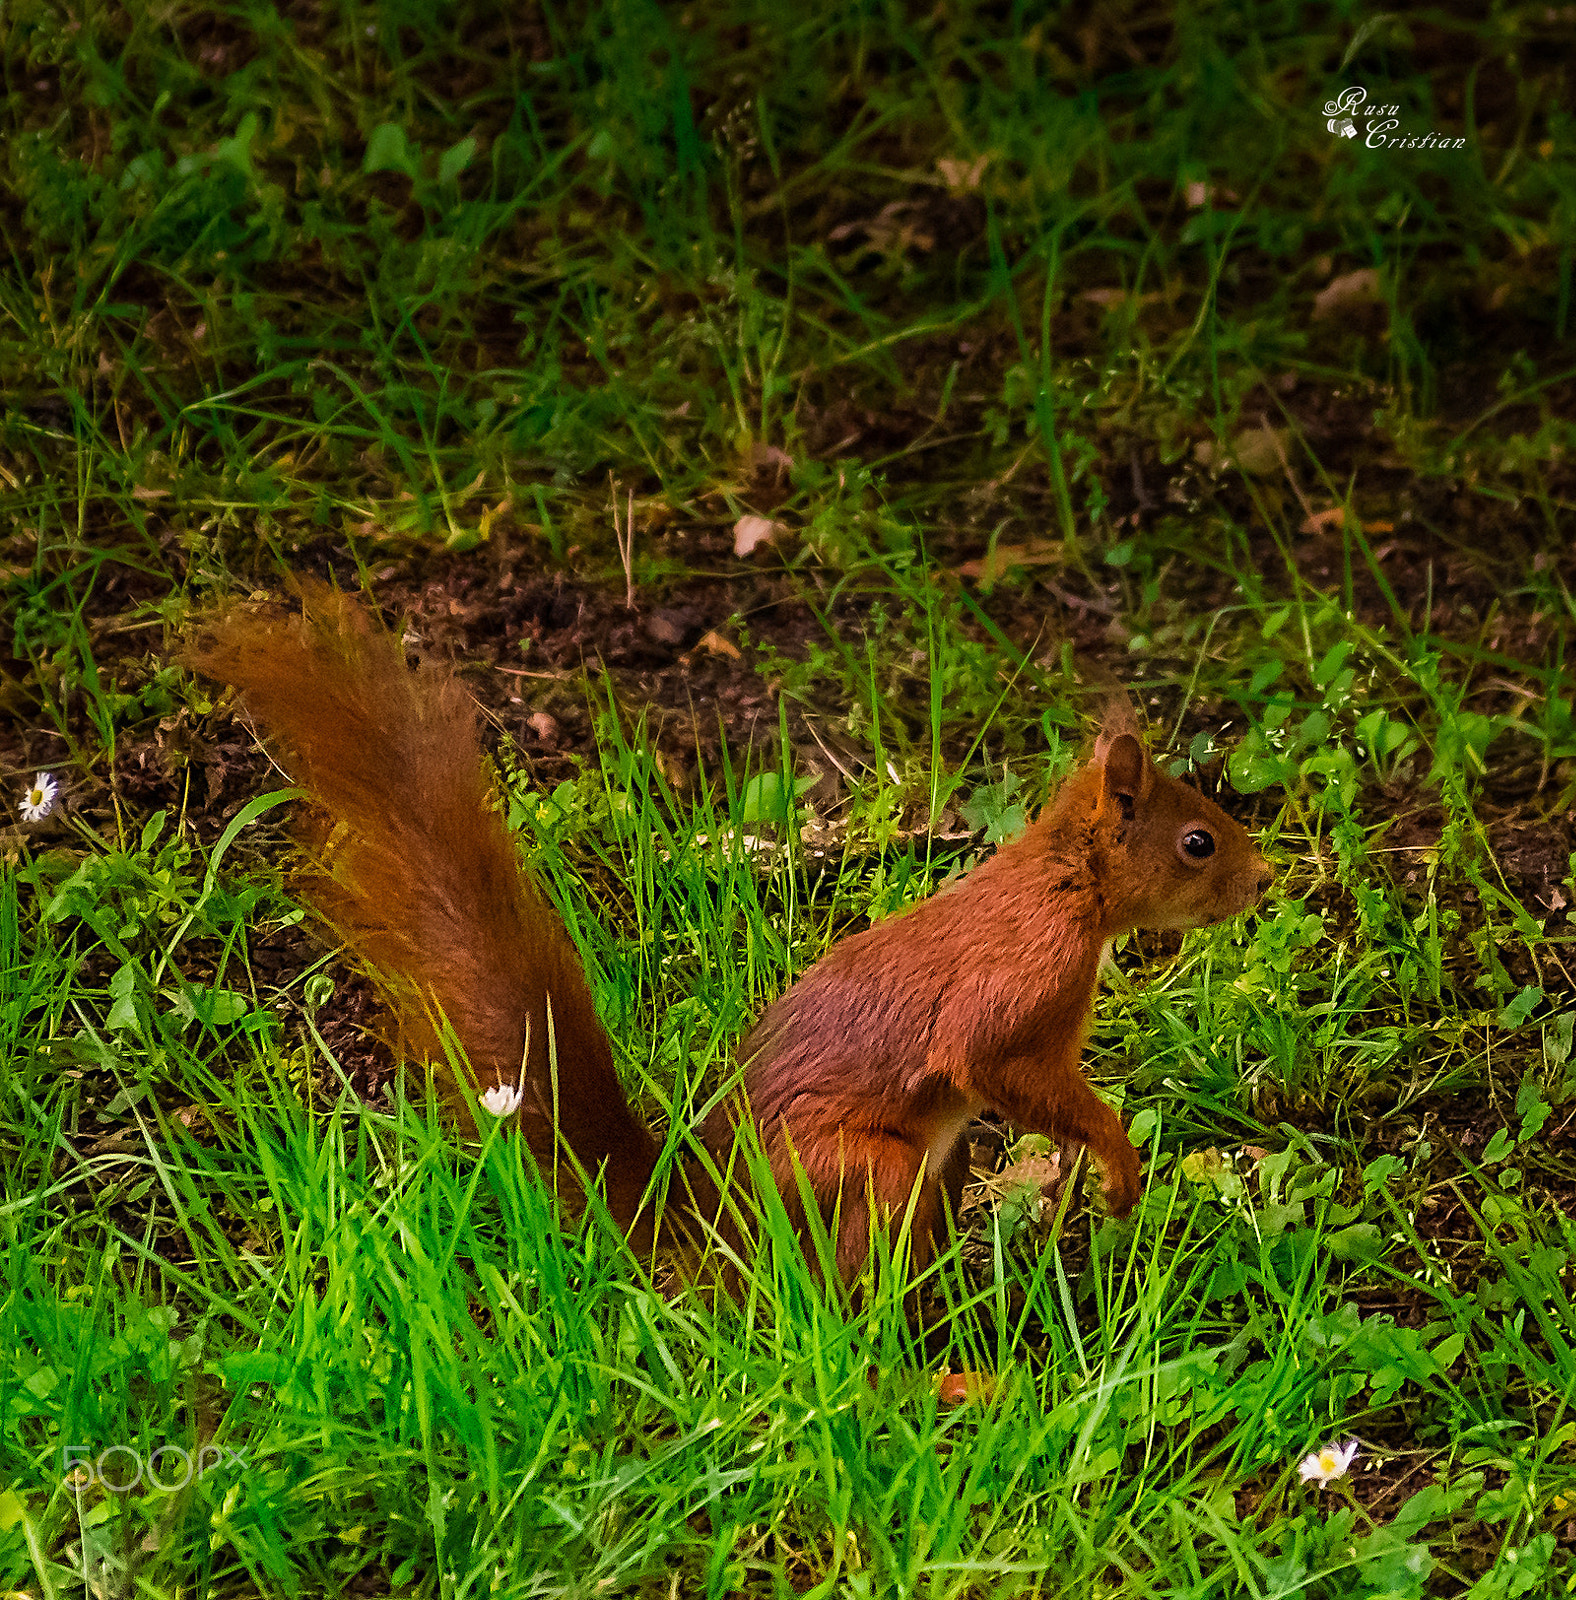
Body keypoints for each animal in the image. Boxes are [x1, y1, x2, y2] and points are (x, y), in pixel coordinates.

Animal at [187, 581, 1274, 1276]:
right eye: (1196, 842)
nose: (1264, 880)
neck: (1064, 885)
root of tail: (713, 1221)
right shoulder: (1015, 987)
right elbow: (998, 1060)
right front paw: (1117, 1166)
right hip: (867, 1170)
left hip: (933, 1163)